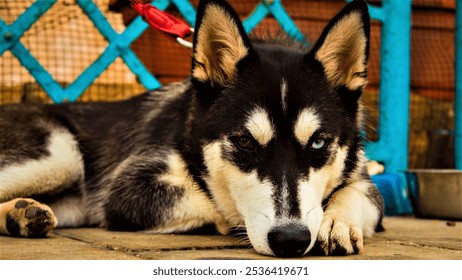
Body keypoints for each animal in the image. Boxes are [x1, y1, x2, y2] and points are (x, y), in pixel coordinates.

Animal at [0, 0, 382, 258]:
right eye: (244, 141)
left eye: (318, 143)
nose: (290, 239)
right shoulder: (128, 187)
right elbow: (218, 202)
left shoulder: (361, 178)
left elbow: (361, 193)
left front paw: (337, 220)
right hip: (60, 155)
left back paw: (19, 215)